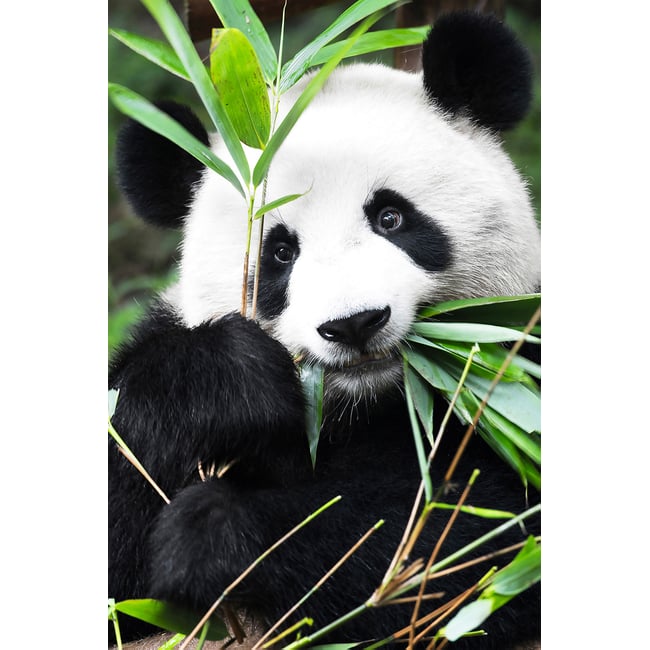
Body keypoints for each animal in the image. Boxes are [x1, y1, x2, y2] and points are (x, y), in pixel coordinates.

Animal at [109, 11, 541, 649]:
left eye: (391, 217)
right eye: (280, 253)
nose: (354, 323)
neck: (363, 406)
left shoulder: (516, 368)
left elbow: (469, 533)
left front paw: (213, 533)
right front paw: (227, 383)